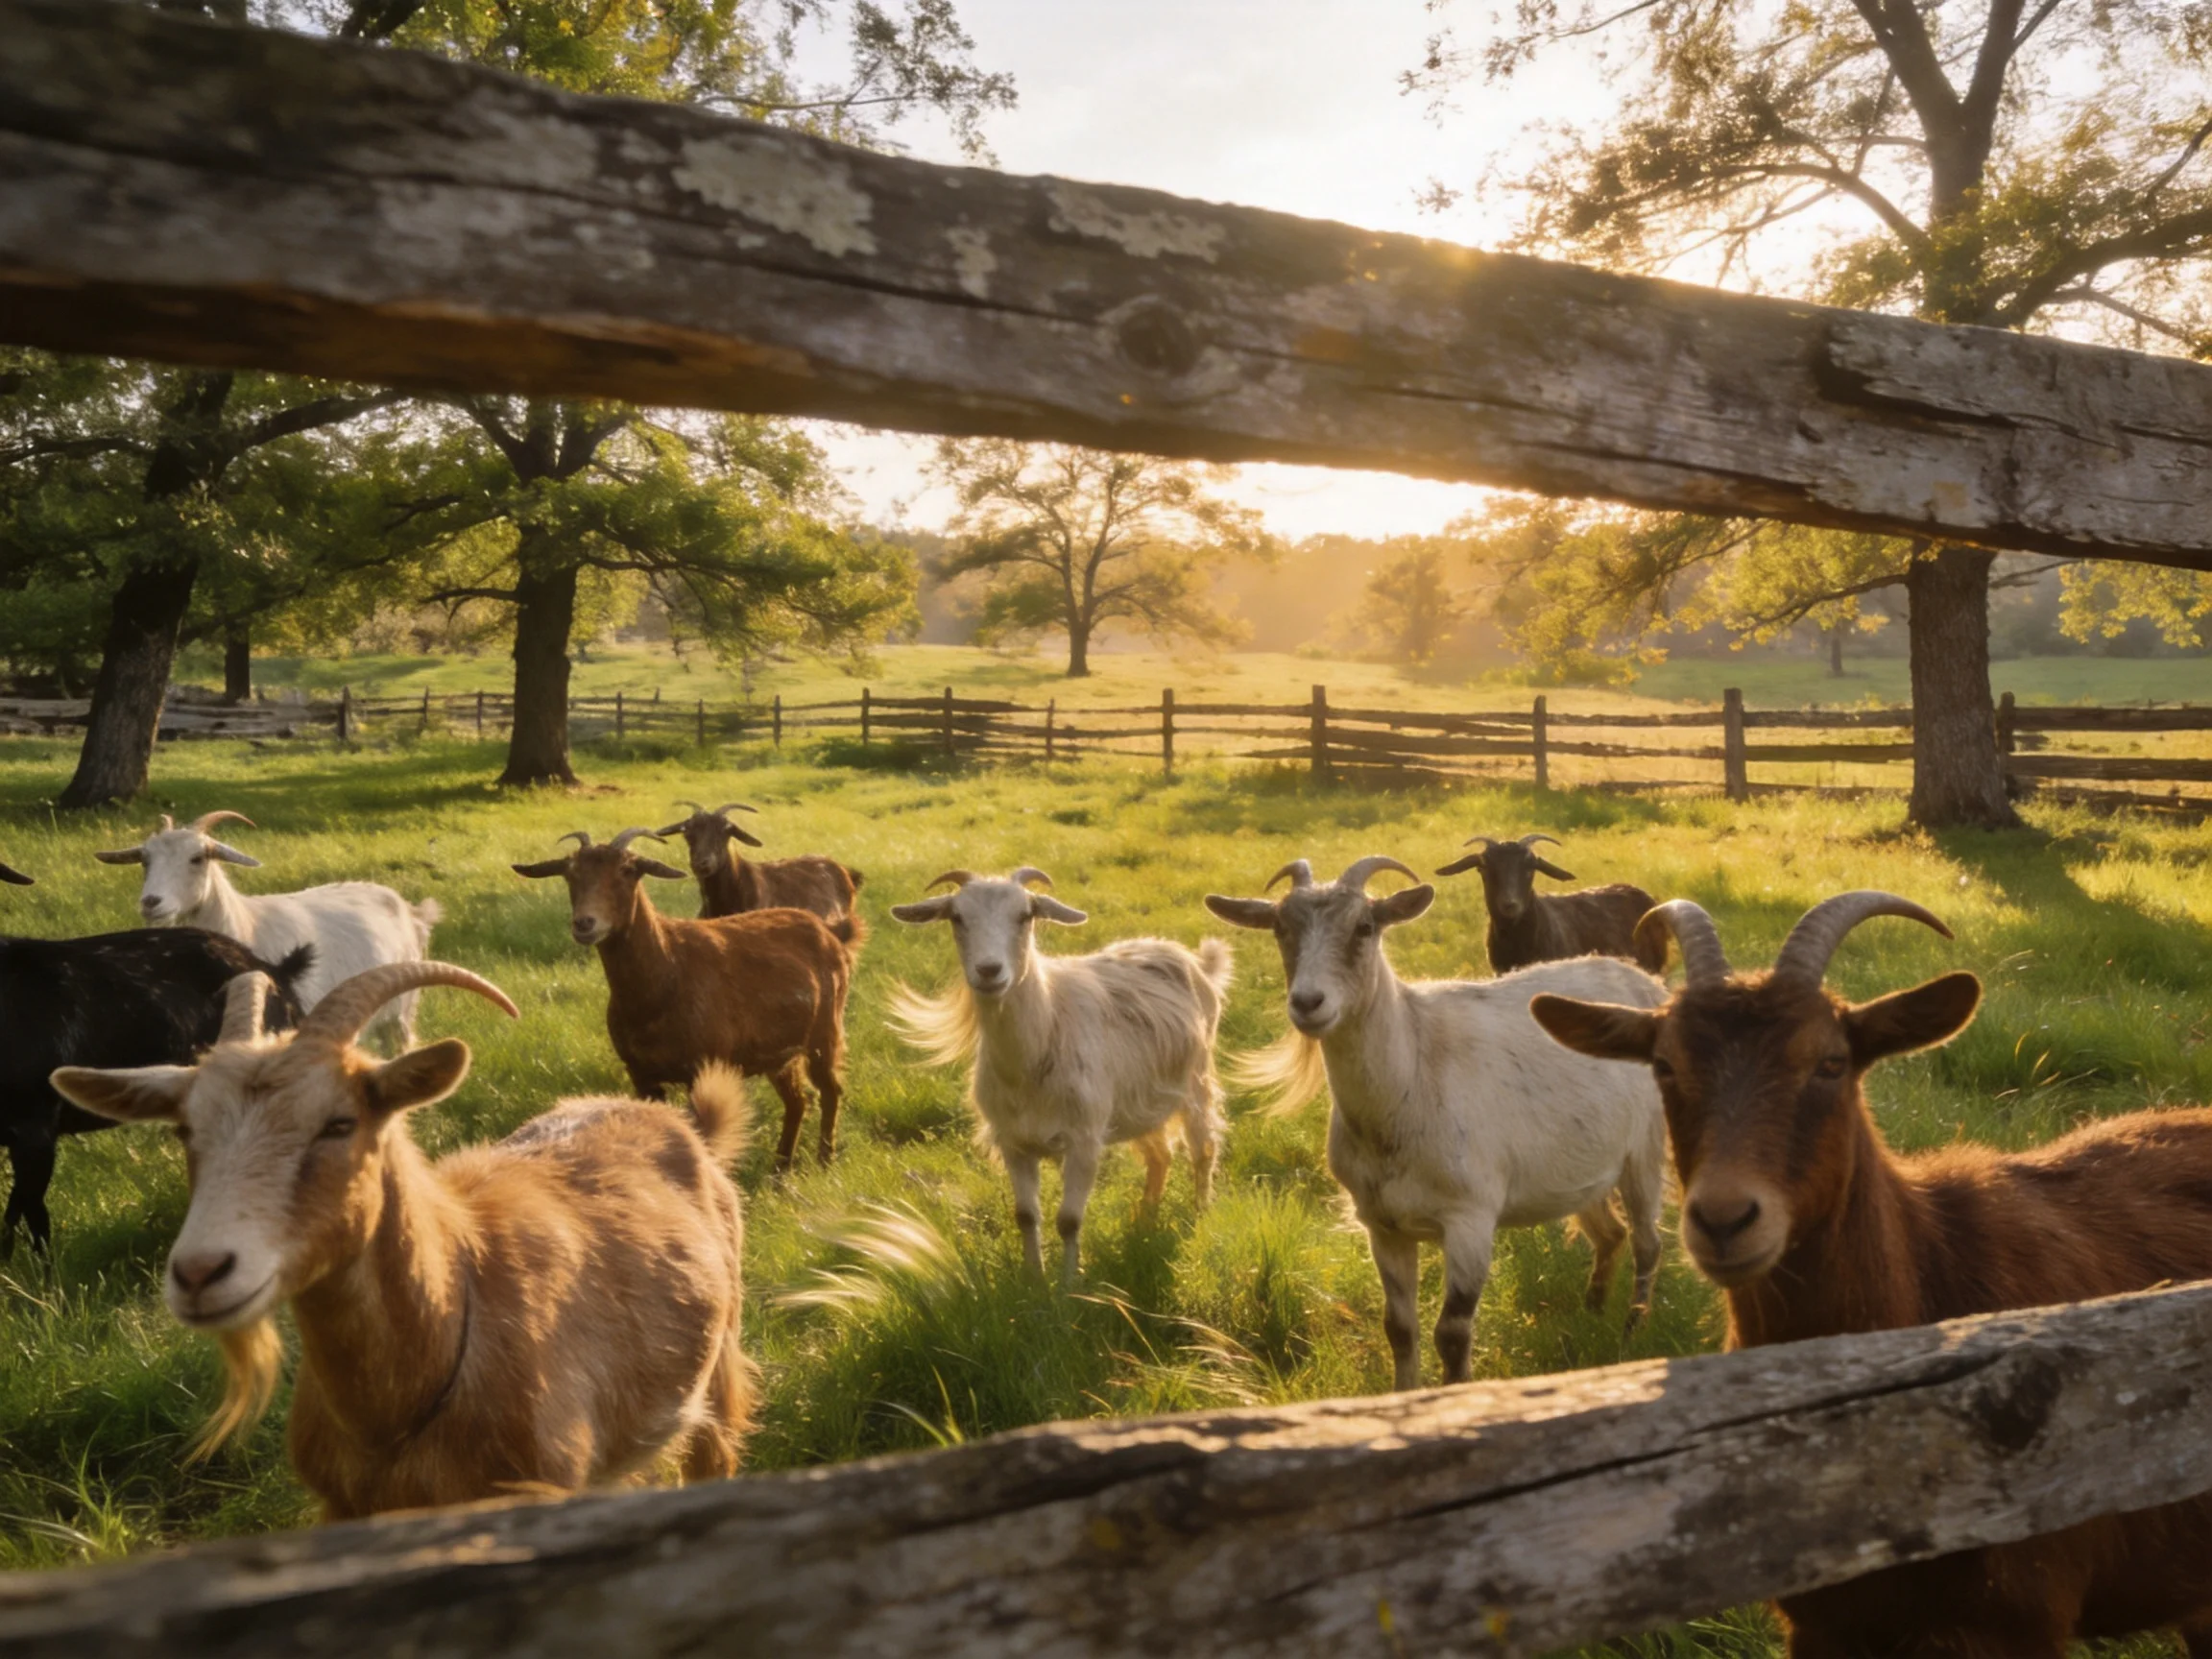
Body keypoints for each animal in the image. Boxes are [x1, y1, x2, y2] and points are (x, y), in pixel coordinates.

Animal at [96, 812, 441, 1049]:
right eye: (145, 860)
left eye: (198, 858)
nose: (151, 902)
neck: (246, 923)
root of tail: (412, 912)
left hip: (401, 1012)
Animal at [514, 828, 860, 1171]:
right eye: (569, 872)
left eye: (627, 870)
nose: (585, 923)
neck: (666, 976)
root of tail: (832, 935)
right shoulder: (641, 1075)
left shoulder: (701, 1068)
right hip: (780, 1053)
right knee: (797, 1101)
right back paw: (780, 1170)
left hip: (825, 1034)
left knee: (831, 1091)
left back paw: (825, 1160)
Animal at [889, 868, 1230, 1287]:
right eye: (956, 917)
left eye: (1026, 915)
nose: (989, 971)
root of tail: (1188, 957)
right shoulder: (1013, 1141)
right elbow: (1025, 1216)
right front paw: (1034, 1278)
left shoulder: (1084, 1140)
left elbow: (1069, 1221)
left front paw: (1070, 1285)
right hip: (1139, 1100)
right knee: (1160, 1156)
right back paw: (1144, 1223)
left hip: (1196, 1081)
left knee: (1204, 1149)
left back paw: (1199, 1214)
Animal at [1207, 855, 1668, 1391]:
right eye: (1280, 928)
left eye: (1365, 927)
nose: (1307, 1003)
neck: (1413, 1075)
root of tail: (1642, 980)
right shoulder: (1382, 1225)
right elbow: (1399, 1327)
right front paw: (1403, 1394)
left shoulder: (1470, 1217)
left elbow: (1452, 1333)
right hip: (1578, 1165)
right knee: (1610, 1234)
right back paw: (1592, 1312)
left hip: (1645, 1150)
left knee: (1647, 1242)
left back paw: (1632, 1331)